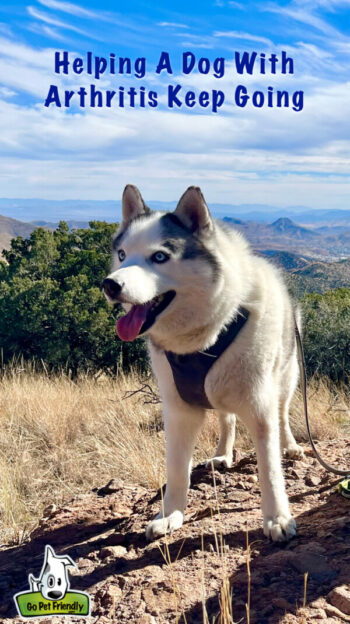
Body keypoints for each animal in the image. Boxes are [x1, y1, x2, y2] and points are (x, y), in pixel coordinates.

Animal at [102, 184, 302, 540]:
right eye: (123, 255)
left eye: (159, 257)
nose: (111, 284)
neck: (203, 336)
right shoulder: (178, 412)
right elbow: (177, 470)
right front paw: (171, 514)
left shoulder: (260, 408)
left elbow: (269, 468)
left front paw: (277, 518)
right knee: (226, 419)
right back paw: (223, 454)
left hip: (285, 380)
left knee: (282, 416)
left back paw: (290, 446)